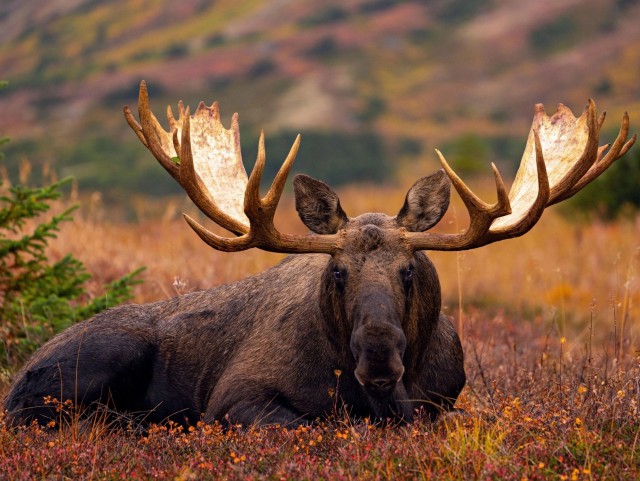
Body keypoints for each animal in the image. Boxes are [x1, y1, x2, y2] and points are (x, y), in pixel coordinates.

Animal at [3, 81, 635, 428]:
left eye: (410, 271)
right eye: (337, 272)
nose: (379, 359)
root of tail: (18, 373)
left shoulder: (446, 401)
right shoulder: (233, 398)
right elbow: (313, 426)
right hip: (99, 357)